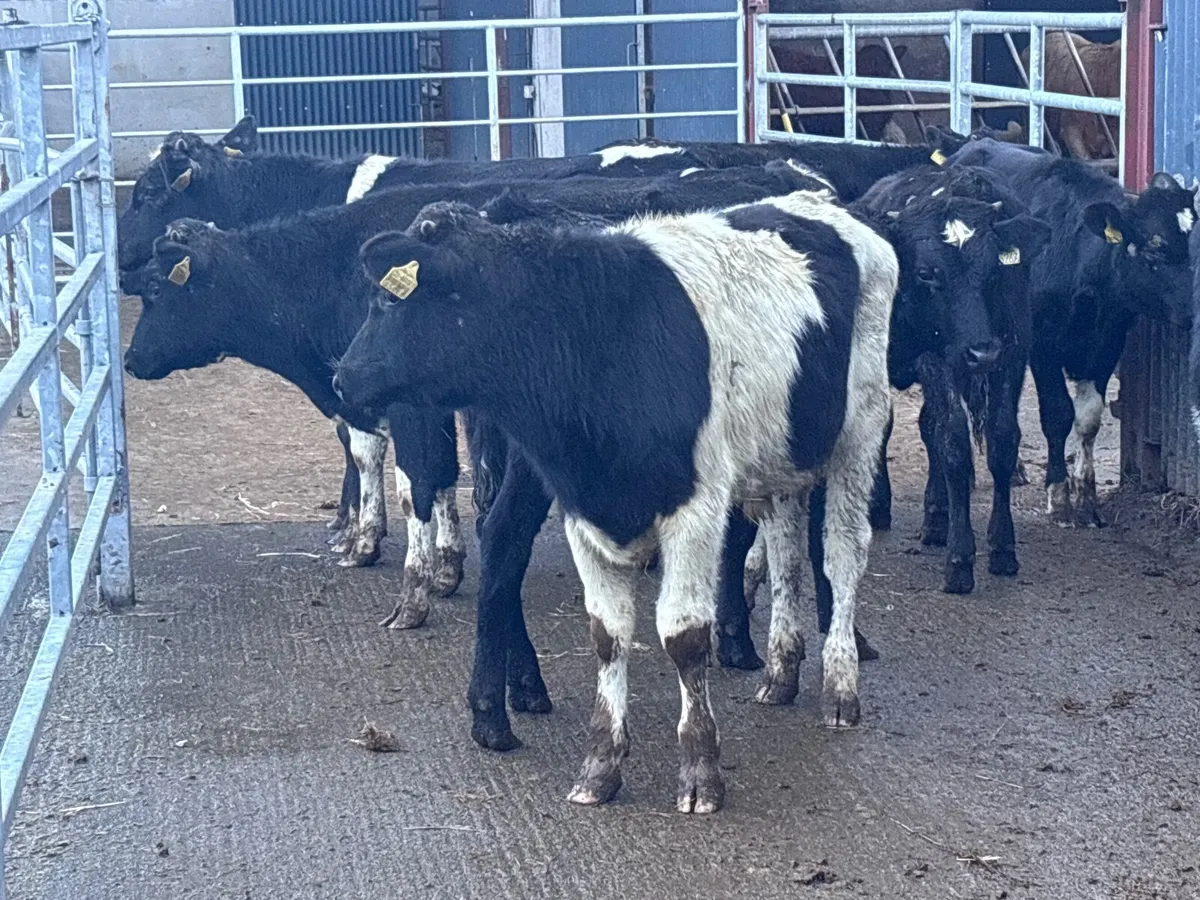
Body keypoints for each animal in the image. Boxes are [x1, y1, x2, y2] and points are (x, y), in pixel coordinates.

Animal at [332, 191, 896, 814]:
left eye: (389, 299)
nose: (342, 379)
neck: (599, 335)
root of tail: (819, 202)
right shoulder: (583, 507)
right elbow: (607, 633)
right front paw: (601, 765)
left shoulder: (696, 509)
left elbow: (683, 636)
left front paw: (700, 770)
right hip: (784, 457)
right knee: (787, 556)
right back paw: (781, 672)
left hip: (859, 434)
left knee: (842, 556)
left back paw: (840, 688)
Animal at [949, 138, 1196, 526]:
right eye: (1153, 252)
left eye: (1189, 248)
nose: (1191, 310)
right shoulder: (1043, 346)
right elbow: (1057, 414)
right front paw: (1060, 496)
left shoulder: (1106, 344)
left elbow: (1088, 418)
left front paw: (1087, 497)